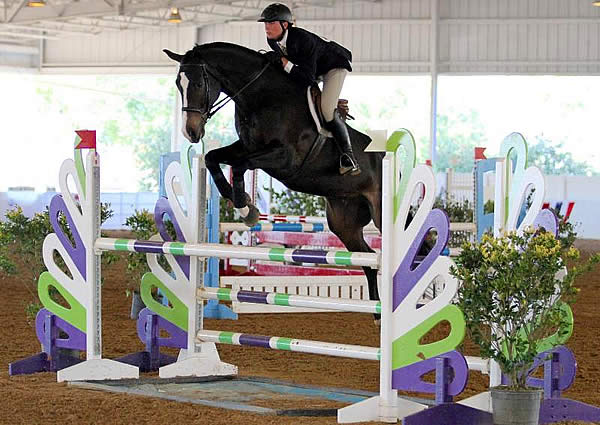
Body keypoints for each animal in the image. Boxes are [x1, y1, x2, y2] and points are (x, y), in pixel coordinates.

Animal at [165, 43, 384, 314]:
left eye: (196, 83)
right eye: (178, 84)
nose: (191, 132)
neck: (261, 98)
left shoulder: (284, 158)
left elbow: (239, 166)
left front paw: (245, 207)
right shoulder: (246, 147)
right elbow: (212, 158)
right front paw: (242, 202)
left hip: (380, 212)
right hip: (344, 222)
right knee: (368, 259)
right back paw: (376, 312)